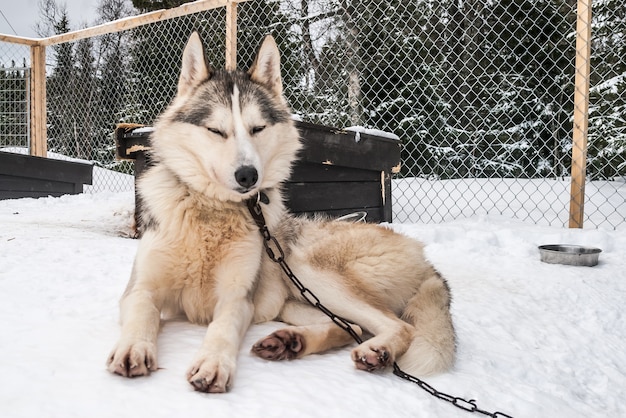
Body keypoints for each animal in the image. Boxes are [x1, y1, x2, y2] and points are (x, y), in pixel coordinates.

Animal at [107, 31, 454, 392]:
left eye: (257, 129)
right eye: (216, 130)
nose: (248, 175)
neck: (211, 210)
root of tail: (423, 256)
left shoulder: (237, 298)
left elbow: (221, 329)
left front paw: (214, 363)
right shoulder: (139, 290)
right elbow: (142, 316)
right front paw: (133, 347)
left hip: (307, 268)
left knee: (398, 327)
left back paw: (376, 351)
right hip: (295, 298)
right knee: (351, 327)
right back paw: (290, 342)